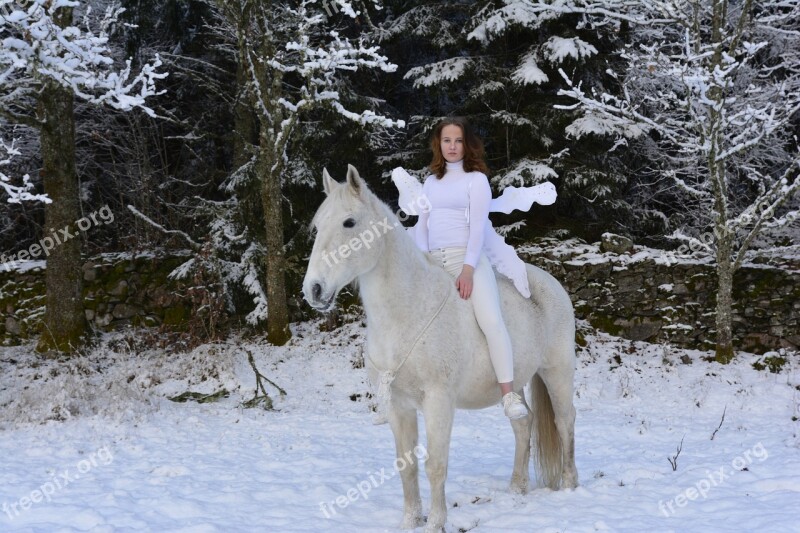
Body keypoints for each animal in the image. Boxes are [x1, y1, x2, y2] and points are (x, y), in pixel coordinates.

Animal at [304, 164, 580, 528]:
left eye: (349, 222)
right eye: (317, 225)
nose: (314, 290)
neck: (409, 311)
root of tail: (550, 283)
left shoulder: (438, 403)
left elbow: (435, 465)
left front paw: (436, 523)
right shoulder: (399, 407)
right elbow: (406, 466)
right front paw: (410, 521)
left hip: (557, 372)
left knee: (564, 422)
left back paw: (570, 485)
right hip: (516, 382)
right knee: (524, 423)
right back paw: (517, 488)